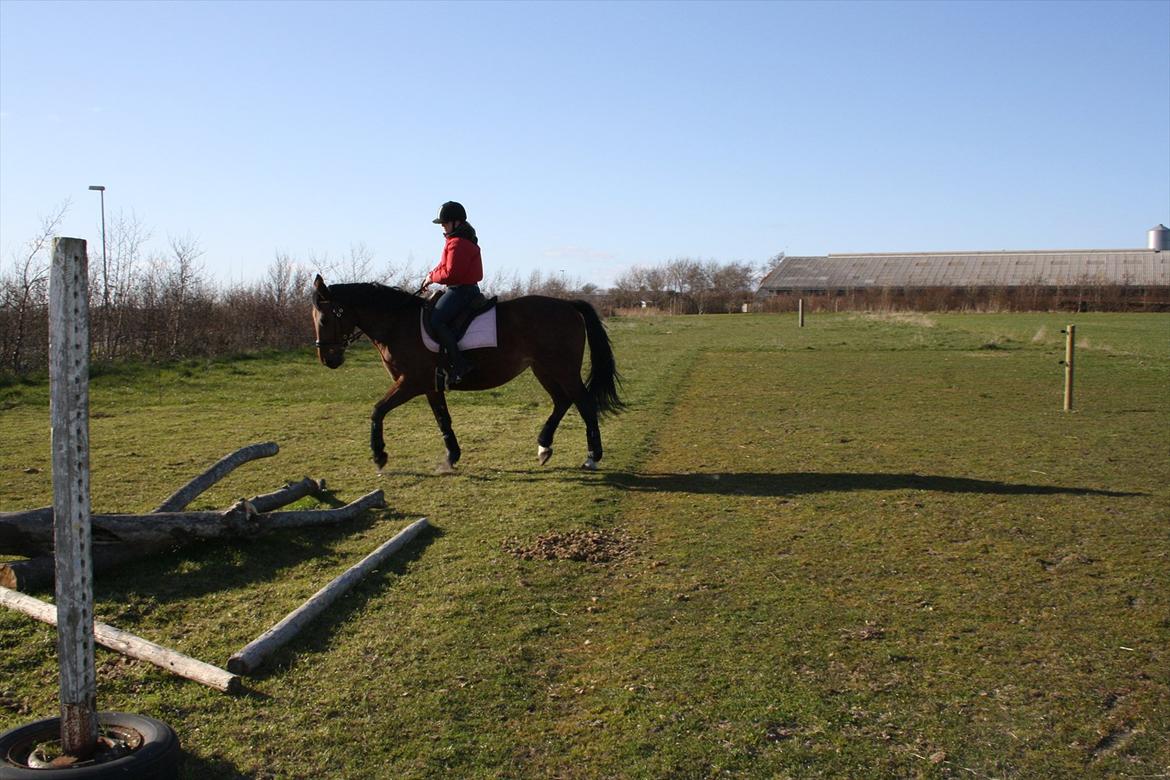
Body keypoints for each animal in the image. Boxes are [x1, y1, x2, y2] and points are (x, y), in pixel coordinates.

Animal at [311, 275, 622, 470]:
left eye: (324, 319)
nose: (328, 359)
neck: (397, 323)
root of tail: (568, 304)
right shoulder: (431, 385)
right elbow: (443, 419)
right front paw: (451, 456)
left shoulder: (410, 382)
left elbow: (378, 410)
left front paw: (379, 456)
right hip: (543, 368)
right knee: (562, 401)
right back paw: (544, 448)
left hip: (562, 368)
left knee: (584, 403)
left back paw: (592, 457)